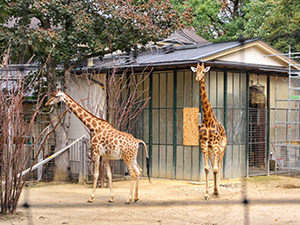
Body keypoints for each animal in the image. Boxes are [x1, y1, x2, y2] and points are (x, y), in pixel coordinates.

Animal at [191, 62, 226, 200]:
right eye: (196, 71)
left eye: (203, 72)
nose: (198, 78)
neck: (207, 118)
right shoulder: (204, 144)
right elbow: (207, 169)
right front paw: (207, 193)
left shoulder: (216, 144)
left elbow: (216, 168)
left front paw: (216, 191)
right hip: (211, 149)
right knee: (213, 165)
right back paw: (214, 191)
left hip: (222, 147)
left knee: (219, 166)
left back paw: (218, 190)